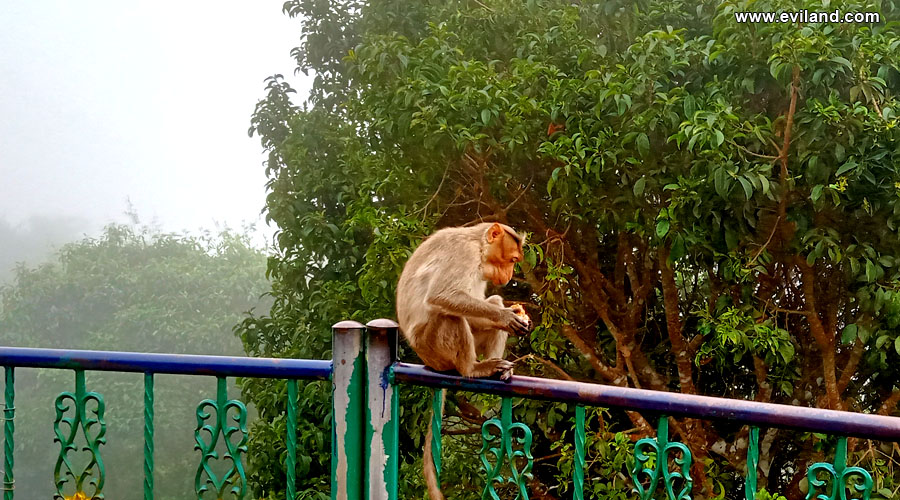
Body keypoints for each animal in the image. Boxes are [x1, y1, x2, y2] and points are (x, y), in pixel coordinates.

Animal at [398, 222, 532, 500]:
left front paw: (514, 314)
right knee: (449, 316)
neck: (478, 246)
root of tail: (431, 363)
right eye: (512, 259)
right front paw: (506, 316)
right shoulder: (463, 254)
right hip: (433, 347)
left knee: (483, 306)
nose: (509, 276)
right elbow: (443, 296)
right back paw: (473, 369)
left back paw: (497, 369)